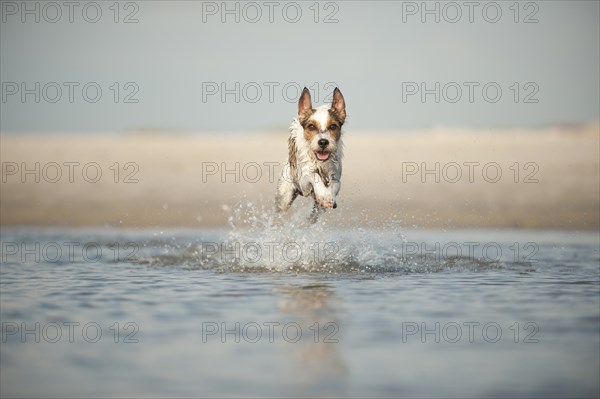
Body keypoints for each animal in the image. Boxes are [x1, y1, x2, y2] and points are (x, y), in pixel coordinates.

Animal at [276, 87, 346, 223]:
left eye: (333, 126)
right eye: (311, 126)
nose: (323, 142)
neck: (319, 162)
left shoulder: (335, 174)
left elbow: (334, 184)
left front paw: (327, 196)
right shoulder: (304, 181)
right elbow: (314, 176)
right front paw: (323, 192)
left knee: (314, 214)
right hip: (285, 196)